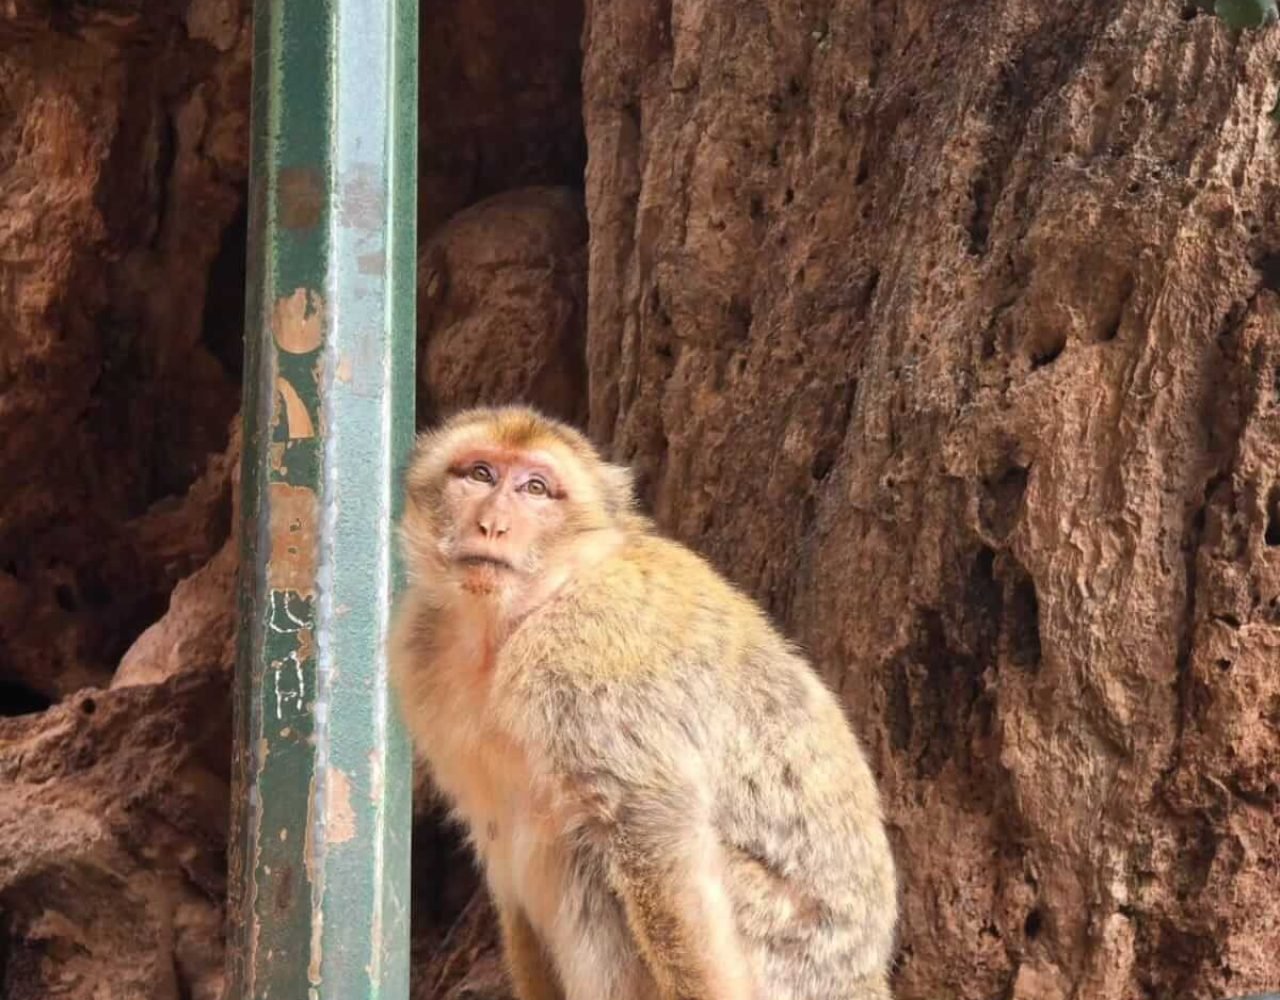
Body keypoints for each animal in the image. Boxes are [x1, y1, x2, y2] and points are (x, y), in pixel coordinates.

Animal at [388, 405, 898, 1000]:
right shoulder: (420, 657)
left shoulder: (584, 653)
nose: (492, 524)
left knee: (586, 850)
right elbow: (500, 845)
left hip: (785, 950)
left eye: (536, 488)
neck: (516, 619)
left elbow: (654, 826)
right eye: (480, 474)